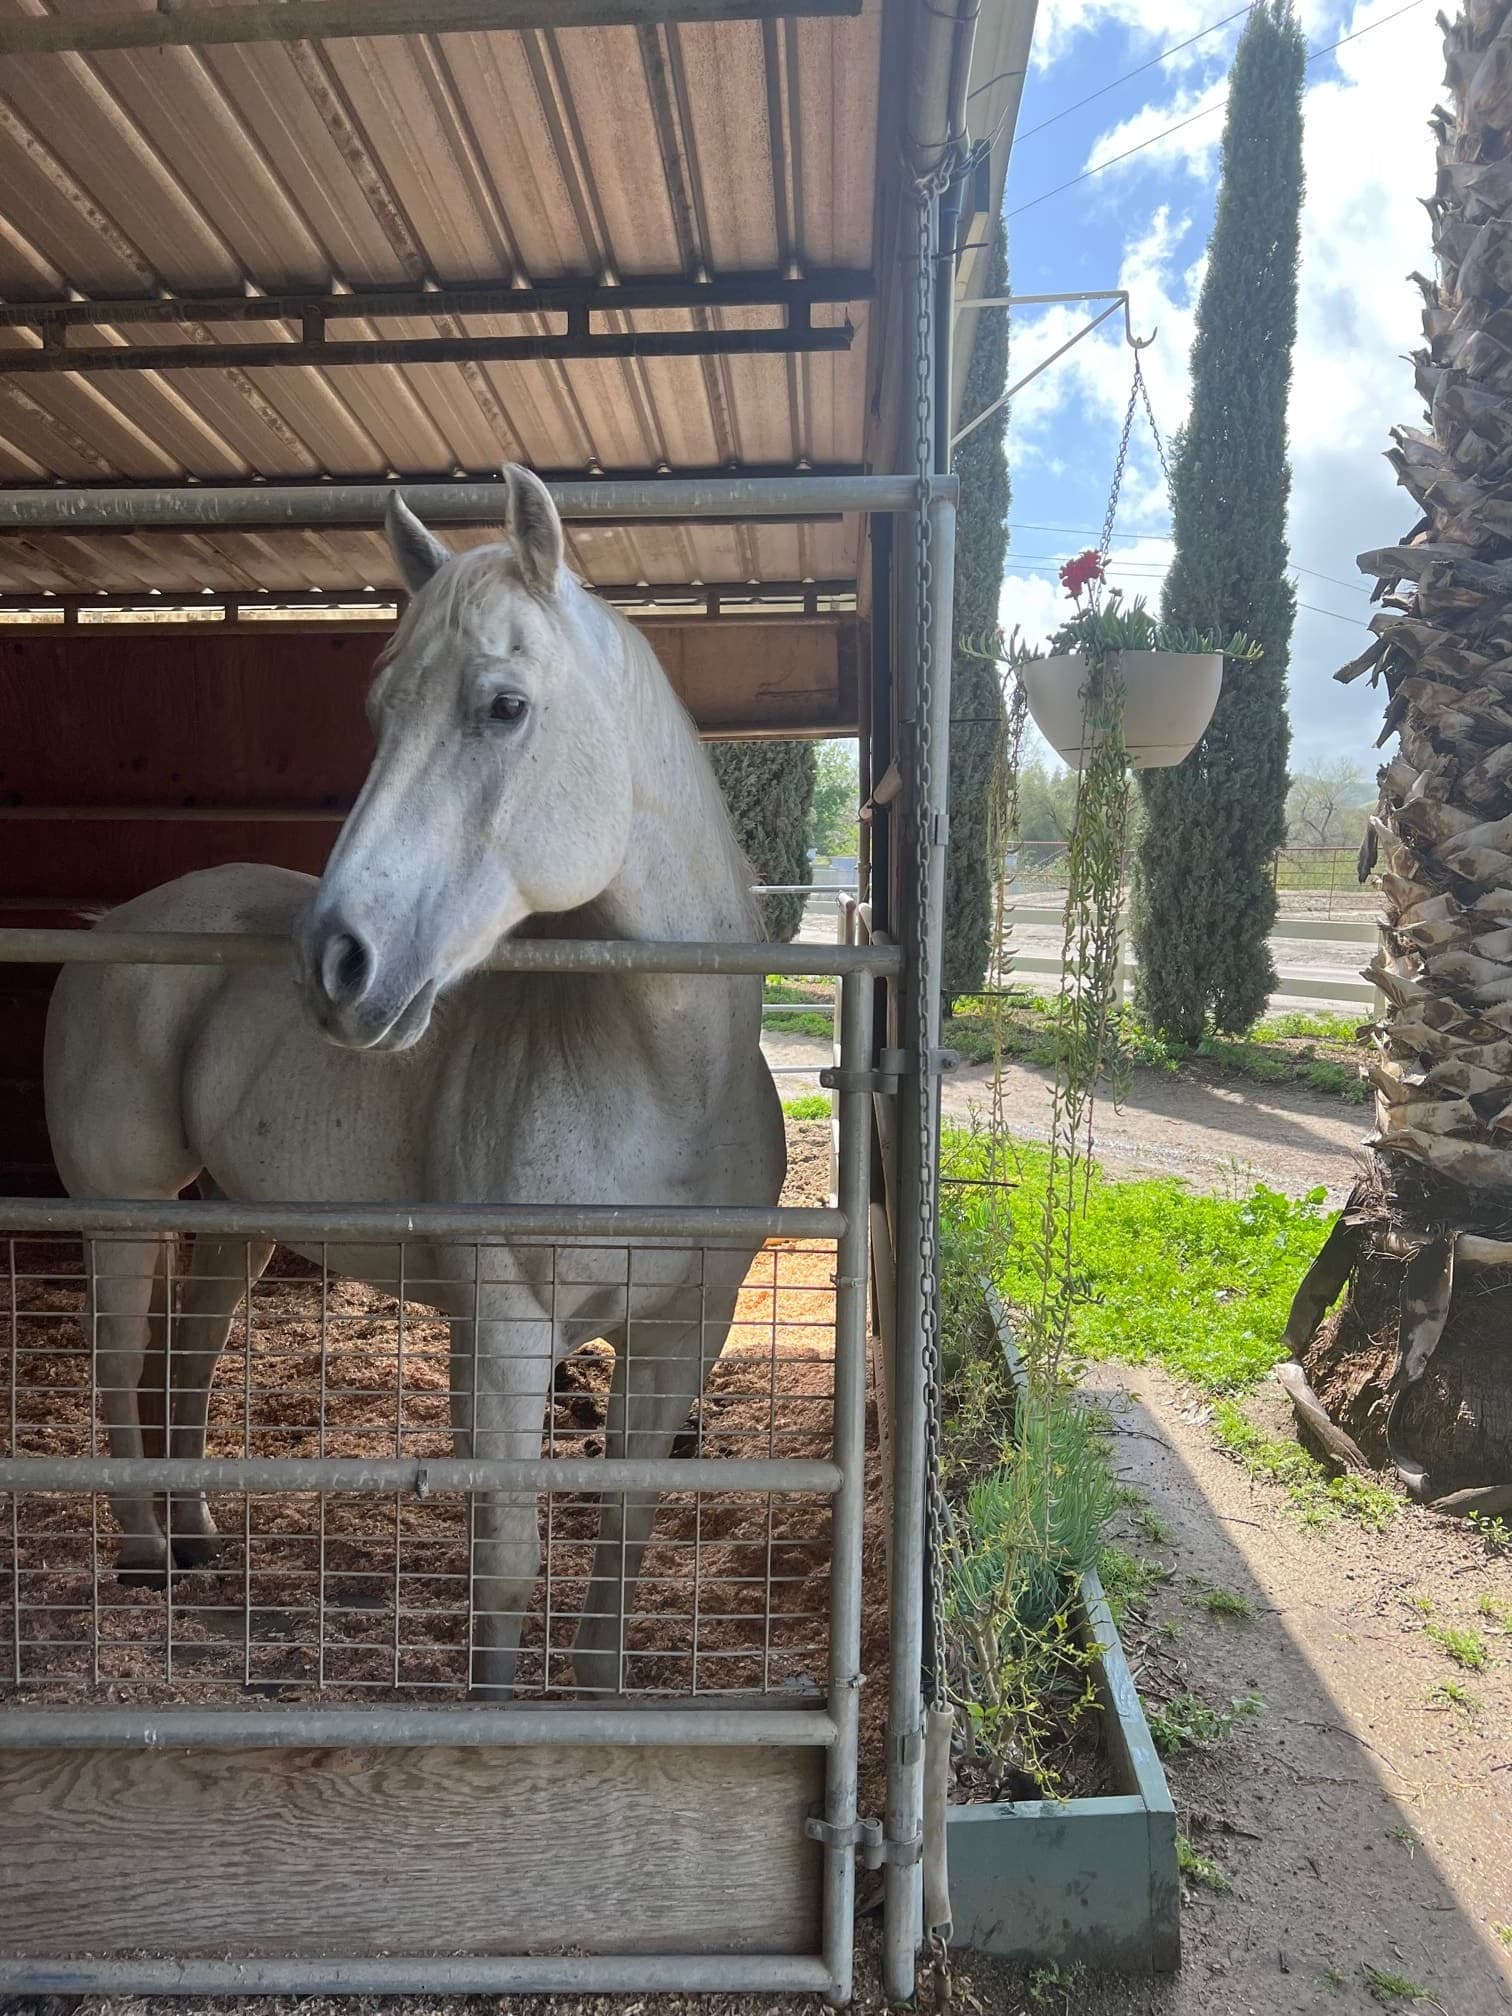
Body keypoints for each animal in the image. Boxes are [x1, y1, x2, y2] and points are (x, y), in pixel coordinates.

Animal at [43, 466, 786, 1695]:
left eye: (504, 707)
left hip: (236, 1218)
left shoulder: (684, 1335)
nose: (336, 962)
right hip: (122, 1208)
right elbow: (507, 1560)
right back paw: (147, 1555)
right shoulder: (507, 1333)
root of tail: (112, 928)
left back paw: (196, 1538)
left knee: (188, 1355)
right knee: (117, 1364)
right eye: (379, 711)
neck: (664, 1080)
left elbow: (623, 1545)